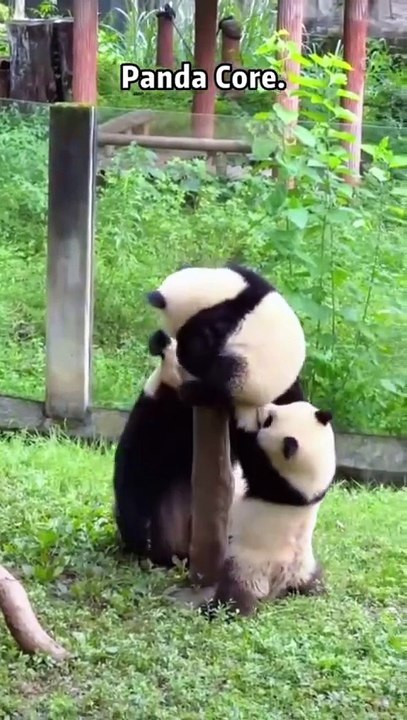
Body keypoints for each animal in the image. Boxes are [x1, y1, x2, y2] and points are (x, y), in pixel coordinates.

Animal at [146, 262, 306, 410]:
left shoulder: (217, 321)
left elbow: (198, 351)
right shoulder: (248, 278)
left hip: (250, 376)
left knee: (223, 378)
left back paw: (193, 392)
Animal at [204, 400, 336, 618]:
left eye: (268, 421)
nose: (264, 407)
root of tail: (279, 580)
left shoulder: (271, 478)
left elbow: (244, 449)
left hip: (247, 566)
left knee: (235, 594)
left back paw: (222, 610)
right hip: (304, 564)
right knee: (314, 580)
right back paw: (316, 590)